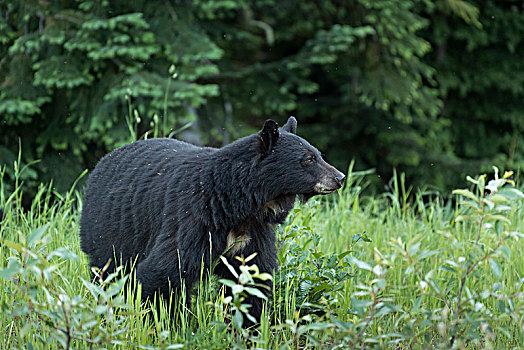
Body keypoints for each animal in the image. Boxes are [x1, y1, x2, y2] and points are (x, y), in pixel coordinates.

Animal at [80, 117, 346, 326]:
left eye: (318, 154)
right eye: (308, 159)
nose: (339, 177)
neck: (236, 205)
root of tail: (101, 163)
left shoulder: (254, 233)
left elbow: (253, 277)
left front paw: (248, 329)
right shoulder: (193, 219)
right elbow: (164, 271)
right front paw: (167, 324)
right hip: (110, 230)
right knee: (107, 274)